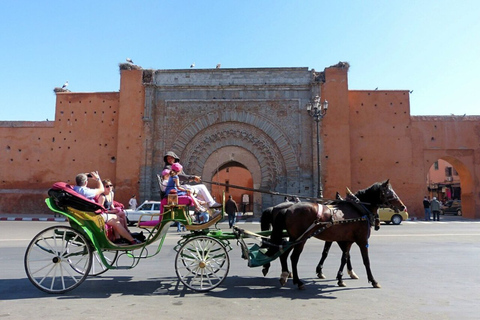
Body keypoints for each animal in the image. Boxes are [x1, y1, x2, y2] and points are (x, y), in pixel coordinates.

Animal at [270, 180, 404, 290]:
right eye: (390, 194)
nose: (402, 206)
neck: (359, 210)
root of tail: (288, 209)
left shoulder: (347, 240)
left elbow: (344, 257)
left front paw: (340, 278)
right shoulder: (362, 240)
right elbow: (366, 260)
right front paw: (373, 280)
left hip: (294, 238)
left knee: (284, 254)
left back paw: (285, 275)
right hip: (301, 238)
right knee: (294, 258)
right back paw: (298, 282)